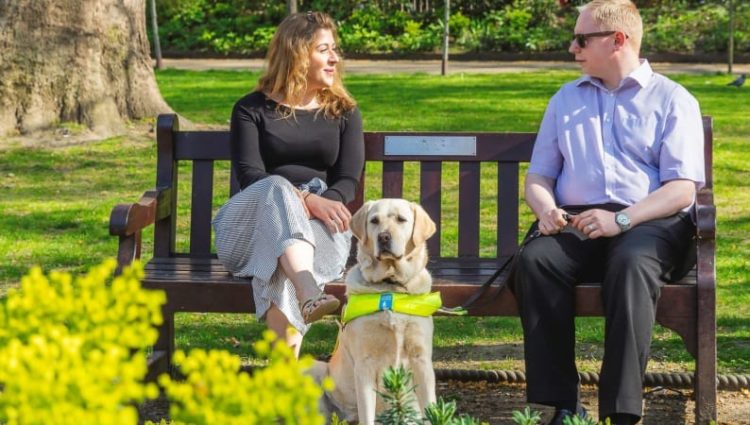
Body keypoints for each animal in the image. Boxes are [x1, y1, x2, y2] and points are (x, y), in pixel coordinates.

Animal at [312, 199, 440, 424]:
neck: (390, 286)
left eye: (401, 219)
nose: (384, 237)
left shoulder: (421, 359)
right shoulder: (365, 364)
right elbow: (367, 415)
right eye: (374, 221)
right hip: (314, 368)